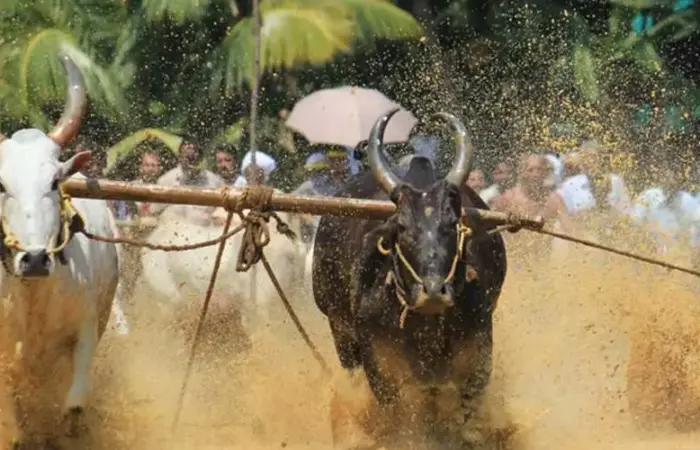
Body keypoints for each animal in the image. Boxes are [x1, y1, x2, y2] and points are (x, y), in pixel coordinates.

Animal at [0, 53, 121, 447]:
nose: (35, 259)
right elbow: (12, 430)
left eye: (54, 182)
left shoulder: (86, 327)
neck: (33, 294)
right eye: (1, 185)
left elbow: (75, 409)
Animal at [312, 109, 509, 449]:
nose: (433, 291)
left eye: (452, 223)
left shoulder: (478, 346)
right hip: (340, 332)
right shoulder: (378, 363)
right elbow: (403, 418)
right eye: (401, 227)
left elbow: (467, 416)